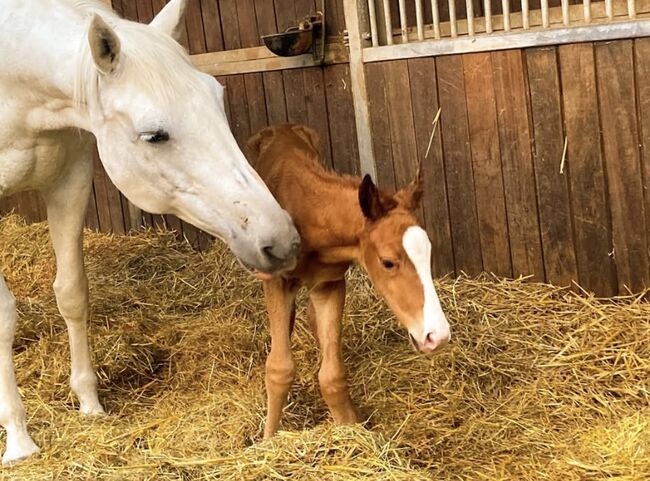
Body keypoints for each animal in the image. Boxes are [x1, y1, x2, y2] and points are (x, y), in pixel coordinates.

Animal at [0, 0, 298, 464]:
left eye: (217, 100)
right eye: (154, 135)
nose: (279, 238)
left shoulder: (69, 182)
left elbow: (72, 294)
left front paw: (90, 404)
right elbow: (3, 316)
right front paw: (18, 439)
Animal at [246, 124, 448, 438]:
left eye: (428, 254)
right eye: (388, 262)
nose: (437, 336)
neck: (306, 217)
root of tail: (280, 127)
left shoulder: (329, 284)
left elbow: (332, 375)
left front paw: (350, 426)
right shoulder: (277, 283)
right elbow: (279, 369)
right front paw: (268, 440)